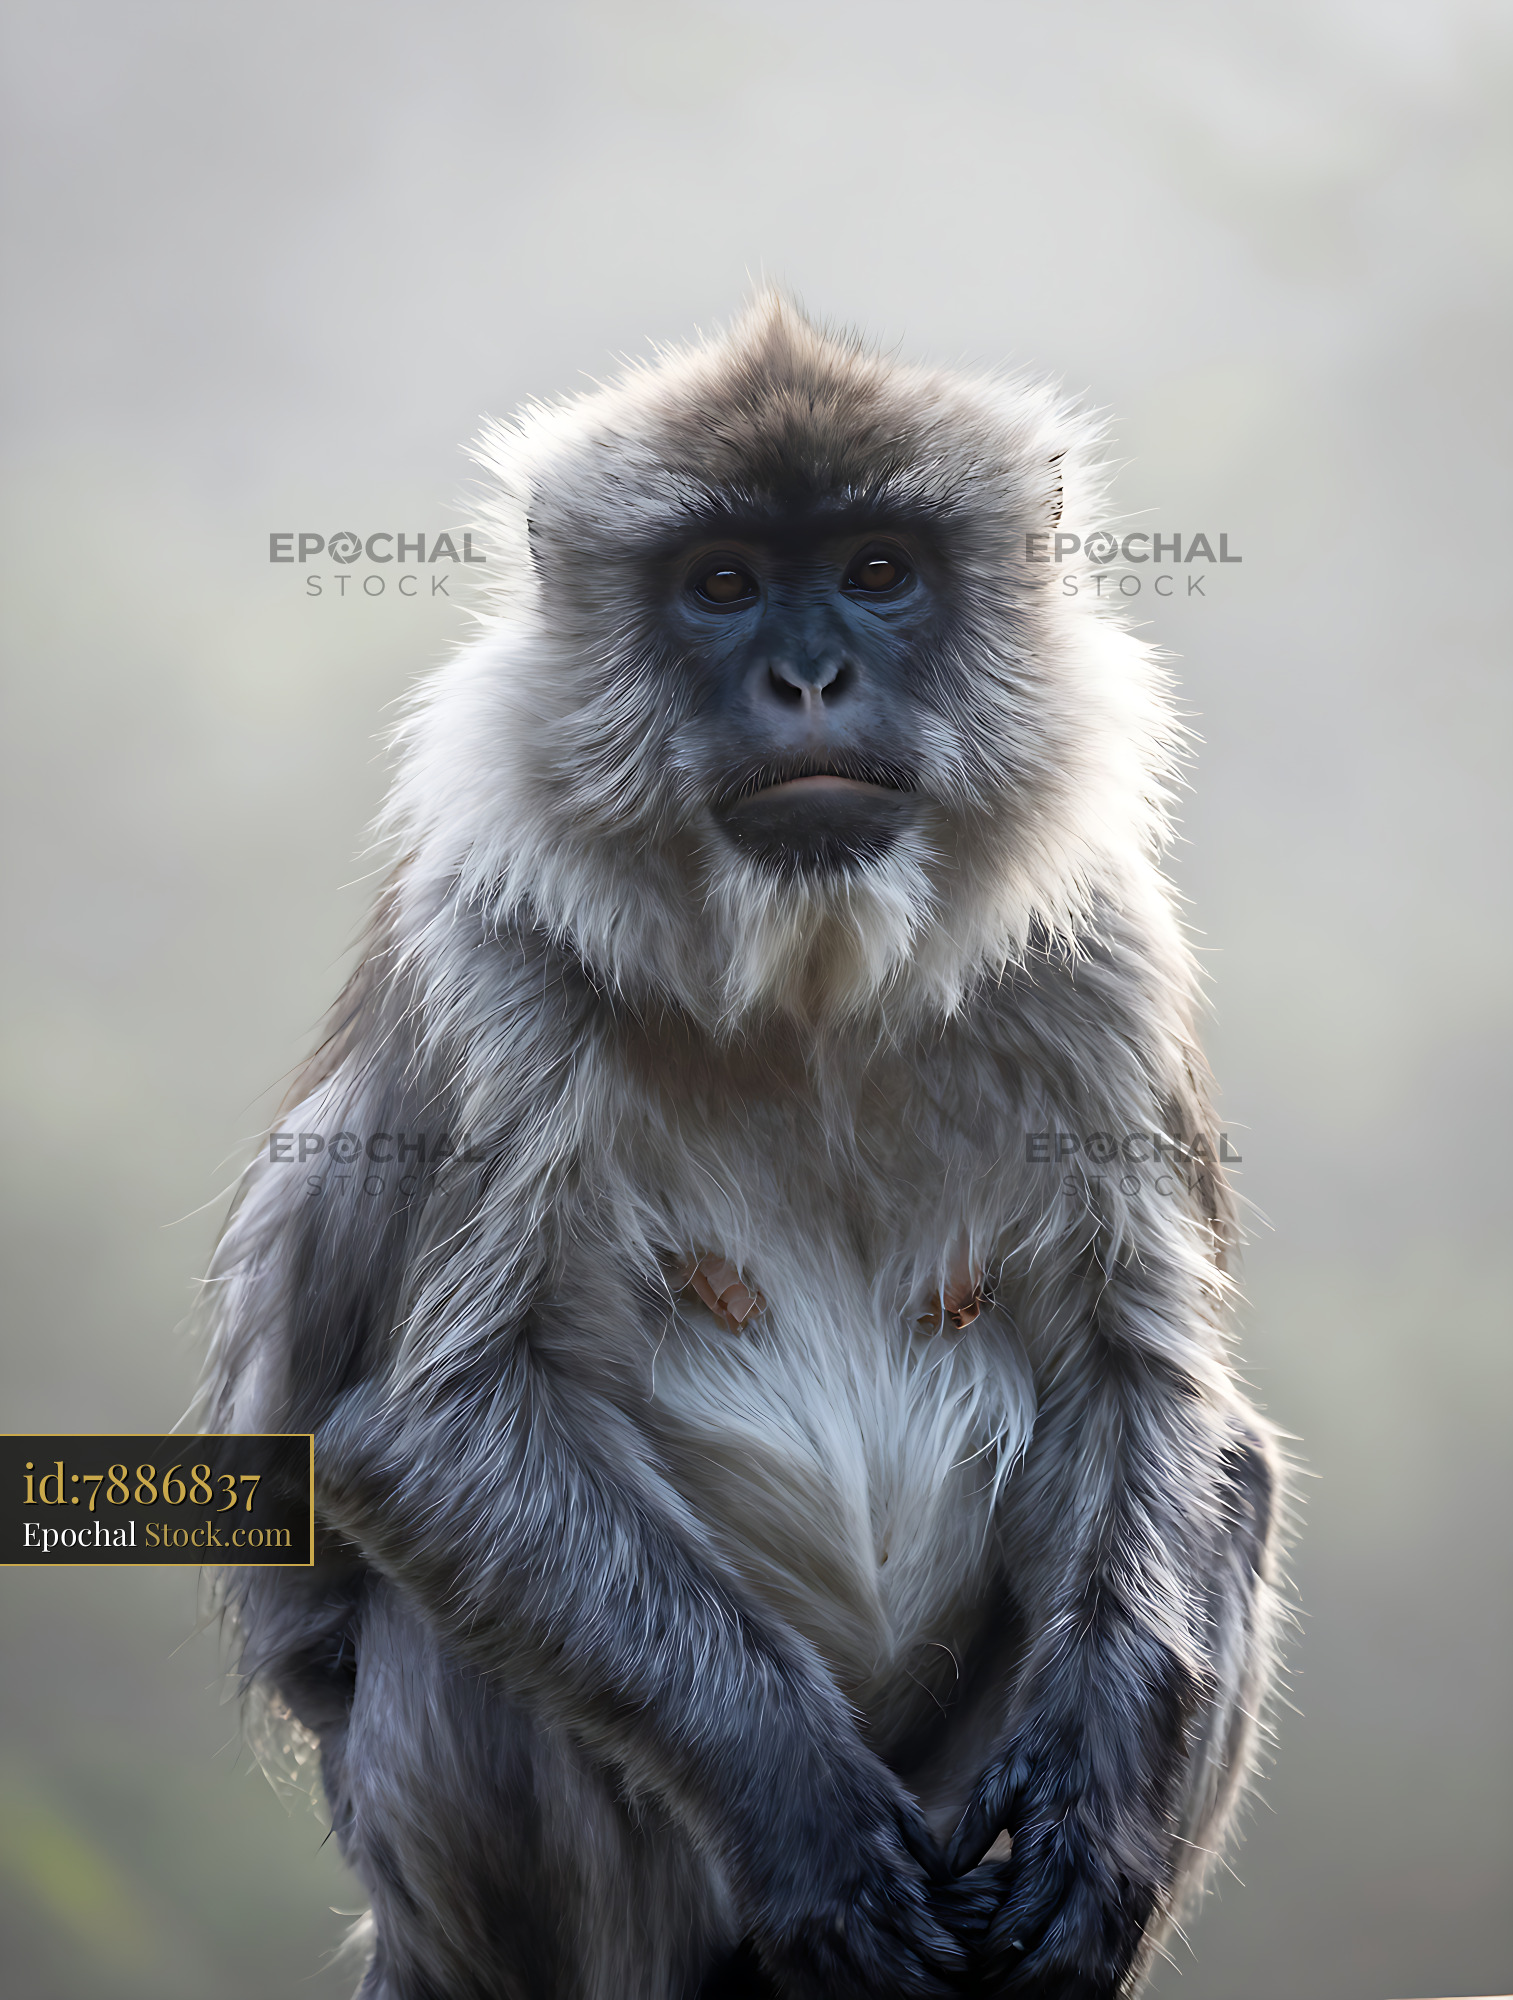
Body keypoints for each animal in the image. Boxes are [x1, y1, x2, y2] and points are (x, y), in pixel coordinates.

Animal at [197, 294, 1285, 2000]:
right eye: (720, 584)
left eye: (878, 570)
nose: (810, 674)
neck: (808, 988)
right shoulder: (492, 959)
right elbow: (423, 1438)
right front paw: (813, 1829)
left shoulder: (1099, 955)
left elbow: (1149, 1382)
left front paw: (1091, 1824)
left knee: (1232, 1480)